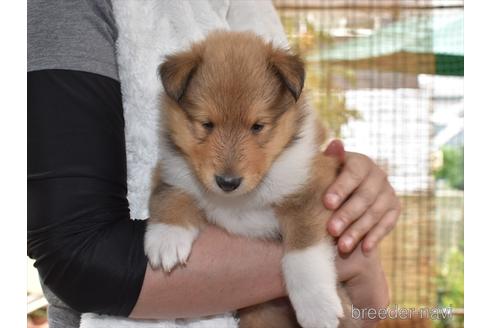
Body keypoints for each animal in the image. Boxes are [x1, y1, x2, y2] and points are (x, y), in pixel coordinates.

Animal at [144, 30, 360, 328]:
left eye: (258, 126)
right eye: (206, 124)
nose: (227, 182)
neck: (240, 199)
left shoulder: (313, 189)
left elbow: (302, 252)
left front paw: (317, 308)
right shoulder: (171, 170)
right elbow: (171, 195)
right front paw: (167, 238)